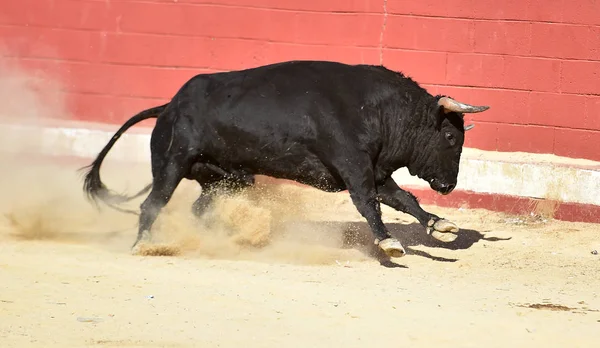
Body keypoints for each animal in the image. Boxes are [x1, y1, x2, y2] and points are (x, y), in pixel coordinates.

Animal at [82, 59, 490, 256]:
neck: (377, 110)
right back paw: (143, 245)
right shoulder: (355, 167)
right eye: (450, 136)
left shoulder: (374, 171)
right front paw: (389, 243)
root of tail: (169, 106)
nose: (449, 186)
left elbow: (404, 199)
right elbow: (369, 204)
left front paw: (441, 225)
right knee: (152, 204)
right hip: (172, 163)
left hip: (226, 178)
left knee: (198, 208)